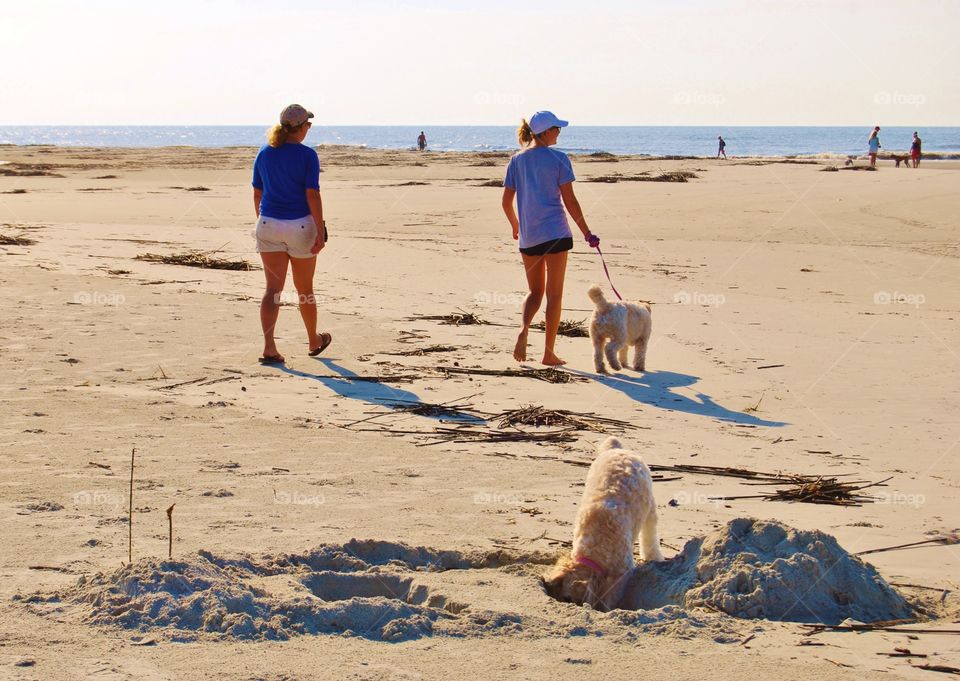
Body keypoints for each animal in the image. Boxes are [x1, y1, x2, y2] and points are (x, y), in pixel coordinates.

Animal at [544, 436, 664, 612]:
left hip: (650, 507)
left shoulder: (622, 572)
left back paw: (653, 555)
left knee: (650, 531)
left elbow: (611, 595)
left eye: (570, 599)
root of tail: (618, 449)